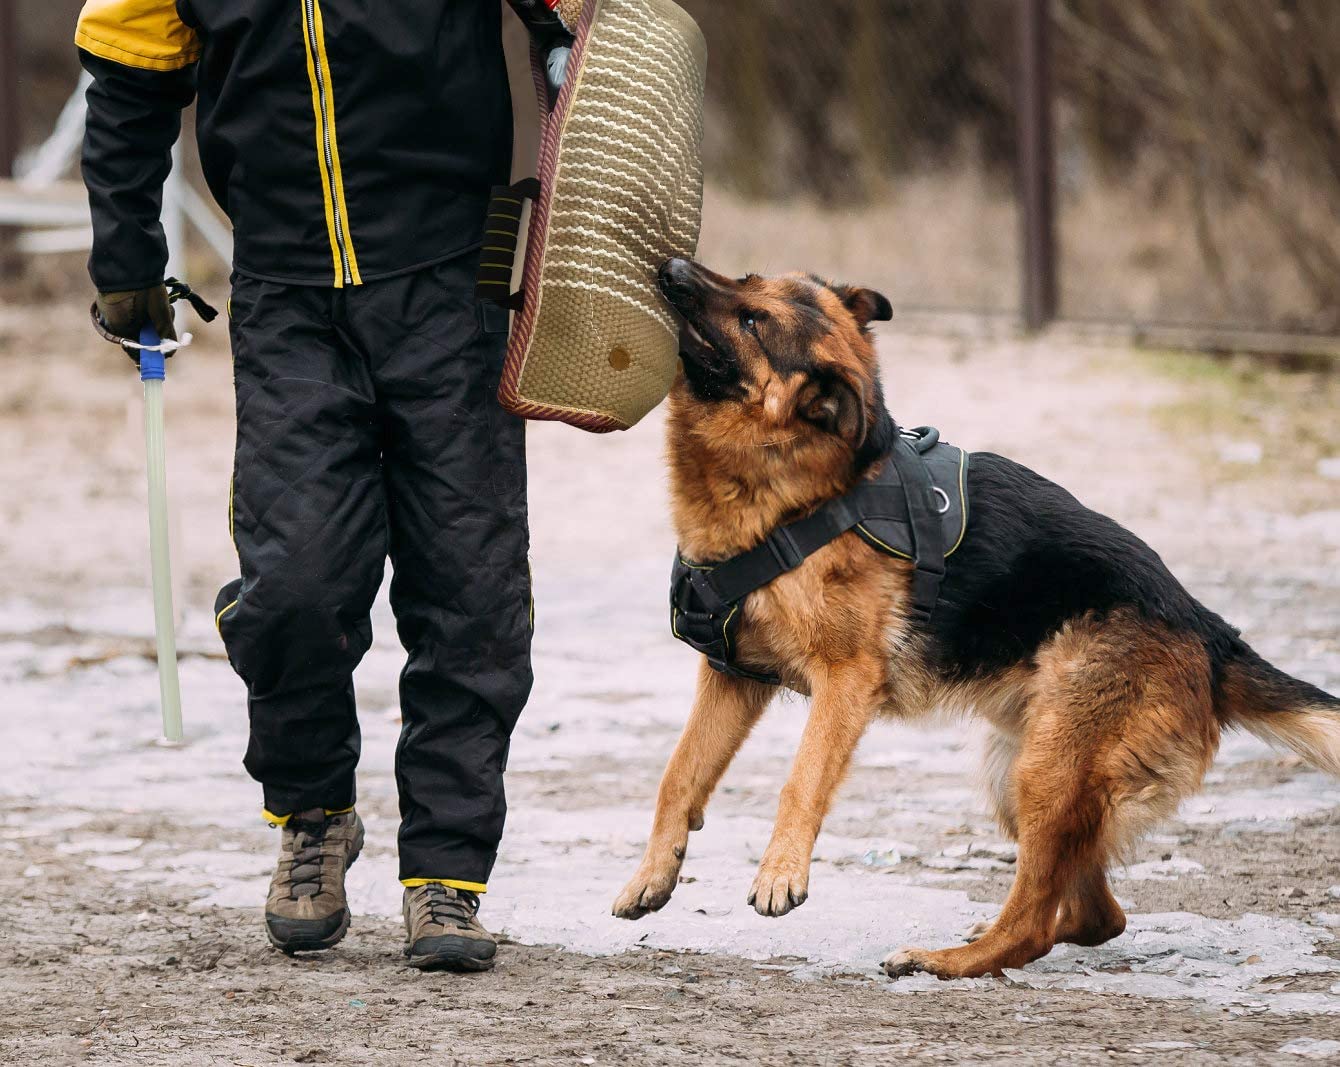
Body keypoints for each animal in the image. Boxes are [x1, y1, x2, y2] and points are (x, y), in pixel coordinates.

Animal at [613, 256, 1340, 975]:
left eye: (753, 323)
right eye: (744, 277)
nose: (671, 267)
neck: (798, 488)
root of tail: (1208, 627)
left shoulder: (844, 683)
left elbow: (802, 779)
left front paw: (780, 873)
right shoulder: (732, 677)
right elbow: (678, 774)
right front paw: (652, 874)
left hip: (1045, 772)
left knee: (1035, 920)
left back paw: (947, 959)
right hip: (1016, 770)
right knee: (1095, 915)